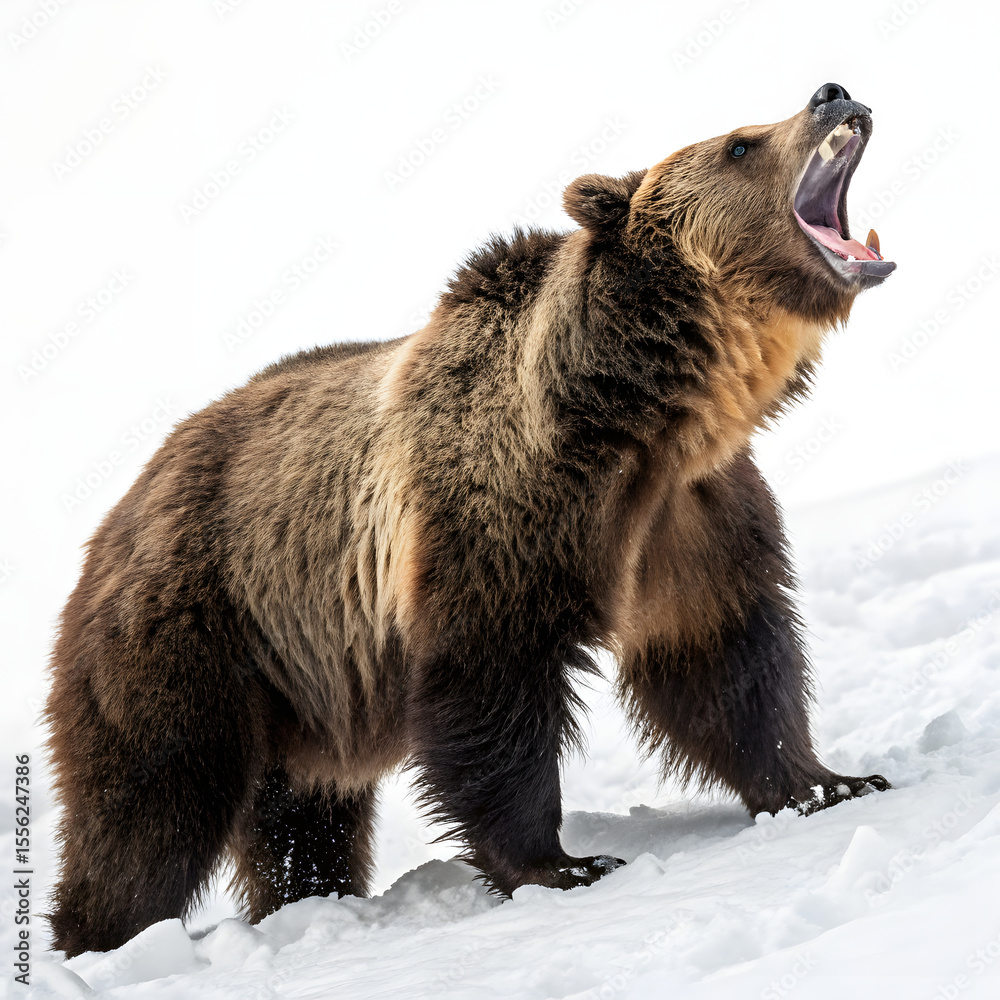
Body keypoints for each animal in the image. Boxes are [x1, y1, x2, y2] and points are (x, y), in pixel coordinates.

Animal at [45, 82, 894, 958]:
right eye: (739, 143)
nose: (831, 93)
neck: (652, 419)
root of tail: (122, 507)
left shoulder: (692, 518)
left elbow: (724, 657)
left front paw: (829, 782)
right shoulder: (508, 511)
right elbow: (492, 682)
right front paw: (564, 863)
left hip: (298, 668)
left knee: (300, 814)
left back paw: (307, 899)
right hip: (196, 624)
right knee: (154, 798)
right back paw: (105, 938)